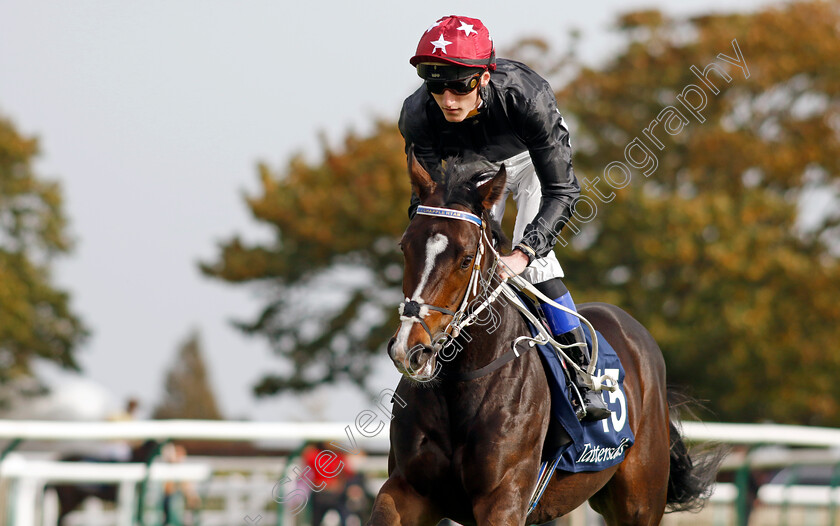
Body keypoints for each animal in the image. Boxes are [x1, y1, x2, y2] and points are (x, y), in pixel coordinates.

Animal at [370, 155, 720, 524]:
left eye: (465, 259)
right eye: (405, 247)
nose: (410, 350)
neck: (461, 383)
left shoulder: (503, 498)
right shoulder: (407, 489)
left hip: (640, 501)